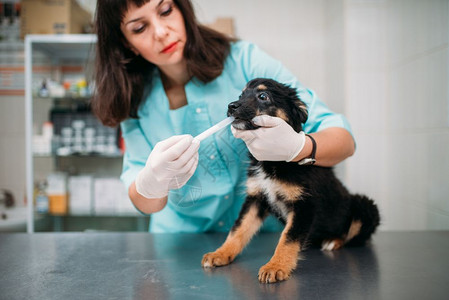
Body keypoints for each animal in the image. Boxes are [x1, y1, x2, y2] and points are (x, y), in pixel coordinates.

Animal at [201, 78, 380, 284]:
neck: (272, 162)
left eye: (263, 96)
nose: (231, 106)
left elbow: (288, 238)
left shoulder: (305, 204)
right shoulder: (256, 198)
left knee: (355, 236)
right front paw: (220, 254)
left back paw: (333, 241)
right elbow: (238, 229)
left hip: (365, 206)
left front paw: (276, 266)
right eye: (241, 95)